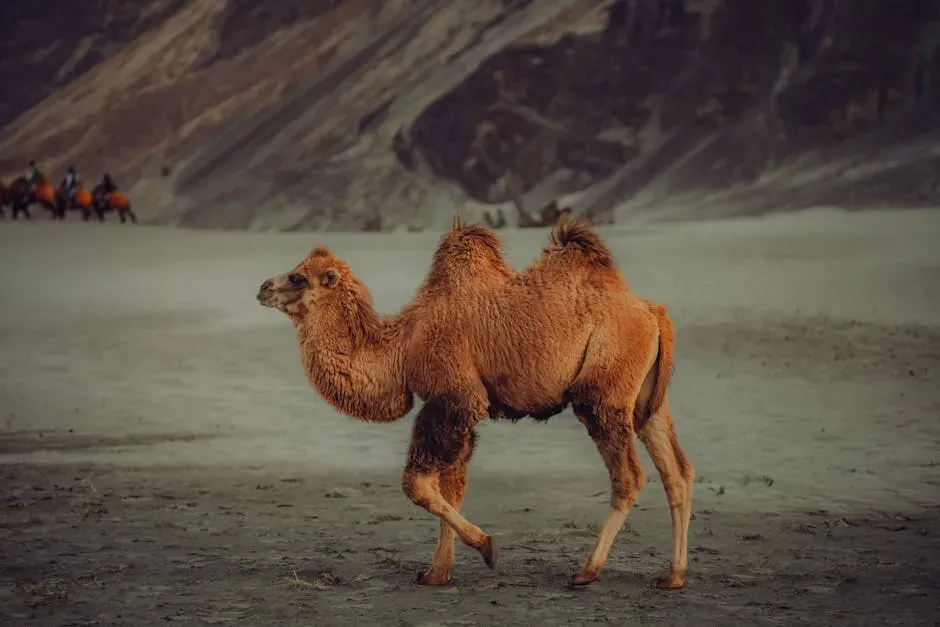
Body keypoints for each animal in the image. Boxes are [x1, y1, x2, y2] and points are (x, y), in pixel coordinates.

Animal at [256, 217, 694, 588]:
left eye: (297, 276)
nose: (262, 288)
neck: (403, 346)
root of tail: (656, 313)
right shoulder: (456, 410)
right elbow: (452, 486)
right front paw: (438, 572)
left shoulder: (455, 396)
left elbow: (418, 483)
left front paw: (486, 548)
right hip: (647, 400)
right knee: (677, 471)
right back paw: (672, 576)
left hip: (604, 391)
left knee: (629, 475)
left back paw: (587, 570)